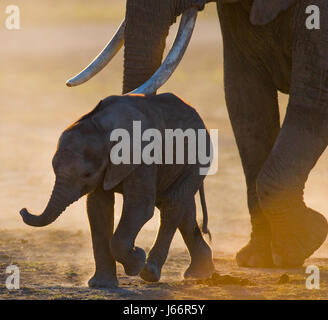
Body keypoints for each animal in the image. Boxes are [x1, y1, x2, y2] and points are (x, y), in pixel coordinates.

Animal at [20, 93, 215, 288]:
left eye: (87, 174)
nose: (23, 209)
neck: (100, 125)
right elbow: (98, 209)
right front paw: (101, 284)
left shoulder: (143, 158)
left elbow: (140, 207)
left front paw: (137, 259)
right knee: (183, 208)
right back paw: (199, 273)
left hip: (198, 158)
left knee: (172, 205)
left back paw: (150, 272)